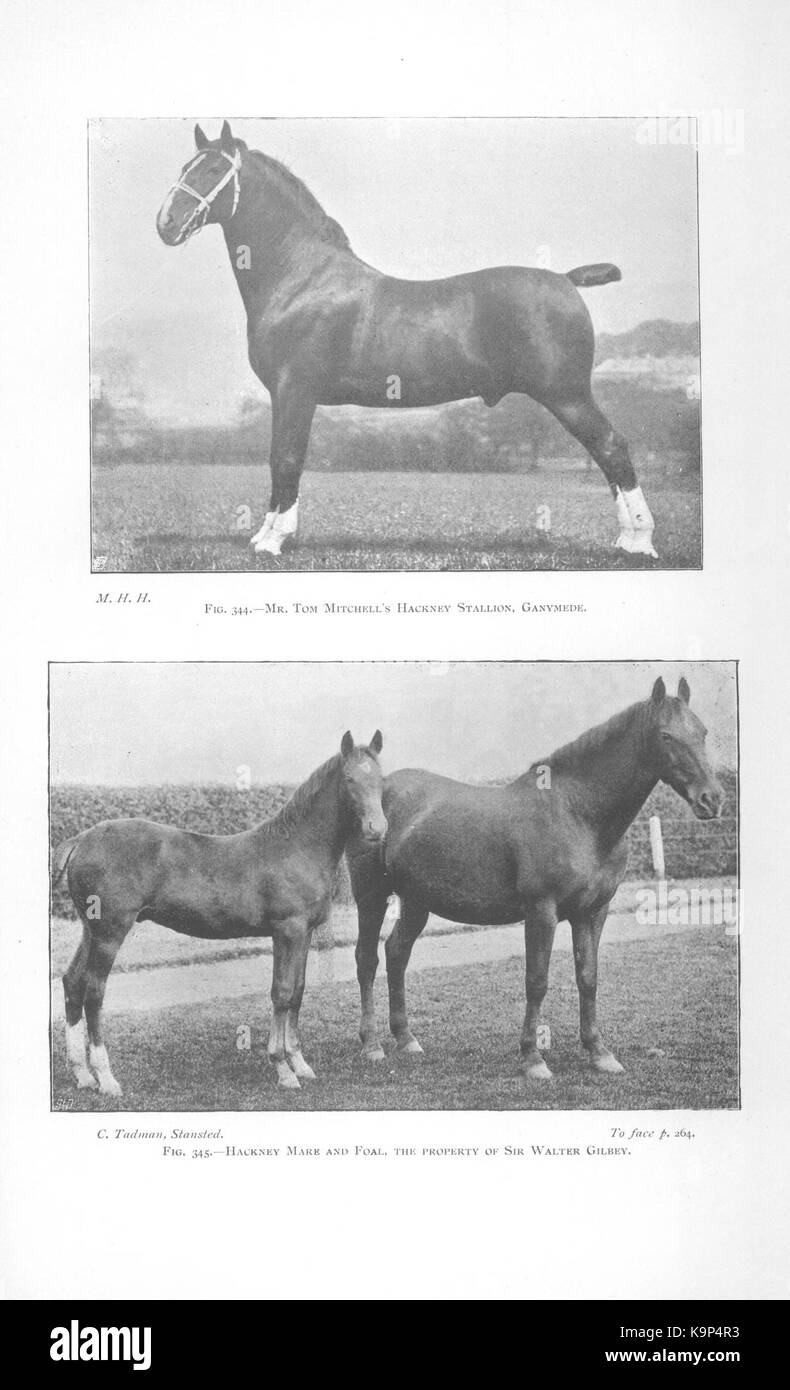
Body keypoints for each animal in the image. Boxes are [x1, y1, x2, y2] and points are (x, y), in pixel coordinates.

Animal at [53, 732, 386, 1096]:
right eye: (349, 778)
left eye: (381, 779)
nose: (377, 828)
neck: (297, 847)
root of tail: (81, 839)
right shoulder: (287, 931)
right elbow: (281, 992)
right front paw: (283, 1069)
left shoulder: (305, 933)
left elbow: (297, 991)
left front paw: (300, 1063)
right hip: (110, 932)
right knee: (94, 990)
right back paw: (106, 1078)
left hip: (91, 930)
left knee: (73, 982)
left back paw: (83, 1075)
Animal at [156, 120, 658, 560]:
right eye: (185, 166)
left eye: (213, 170)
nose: (166, 222)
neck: (301, 276)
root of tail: (566, 279)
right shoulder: (286, 396)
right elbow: (277, 460)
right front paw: (264, 535)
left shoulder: (294, 390)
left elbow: (286, 459)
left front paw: (273, 541)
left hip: (568, 395)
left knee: (613, 448)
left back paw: (638, 542)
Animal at [346, 679, 722, 1079]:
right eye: (666, 735)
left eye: (703, 732)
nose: (712, 800)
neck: (576, 814)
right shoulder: (542, 911)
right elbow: (536, 981)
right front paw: (532, 1058)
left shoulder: (593, 912)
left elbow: (588, 978)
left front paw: (599, 1052)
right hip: (371, 897)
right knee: (367, 959)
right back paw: (371, 1044)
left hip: (417, 901)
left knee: (396, 953)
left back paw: (406, 1038)